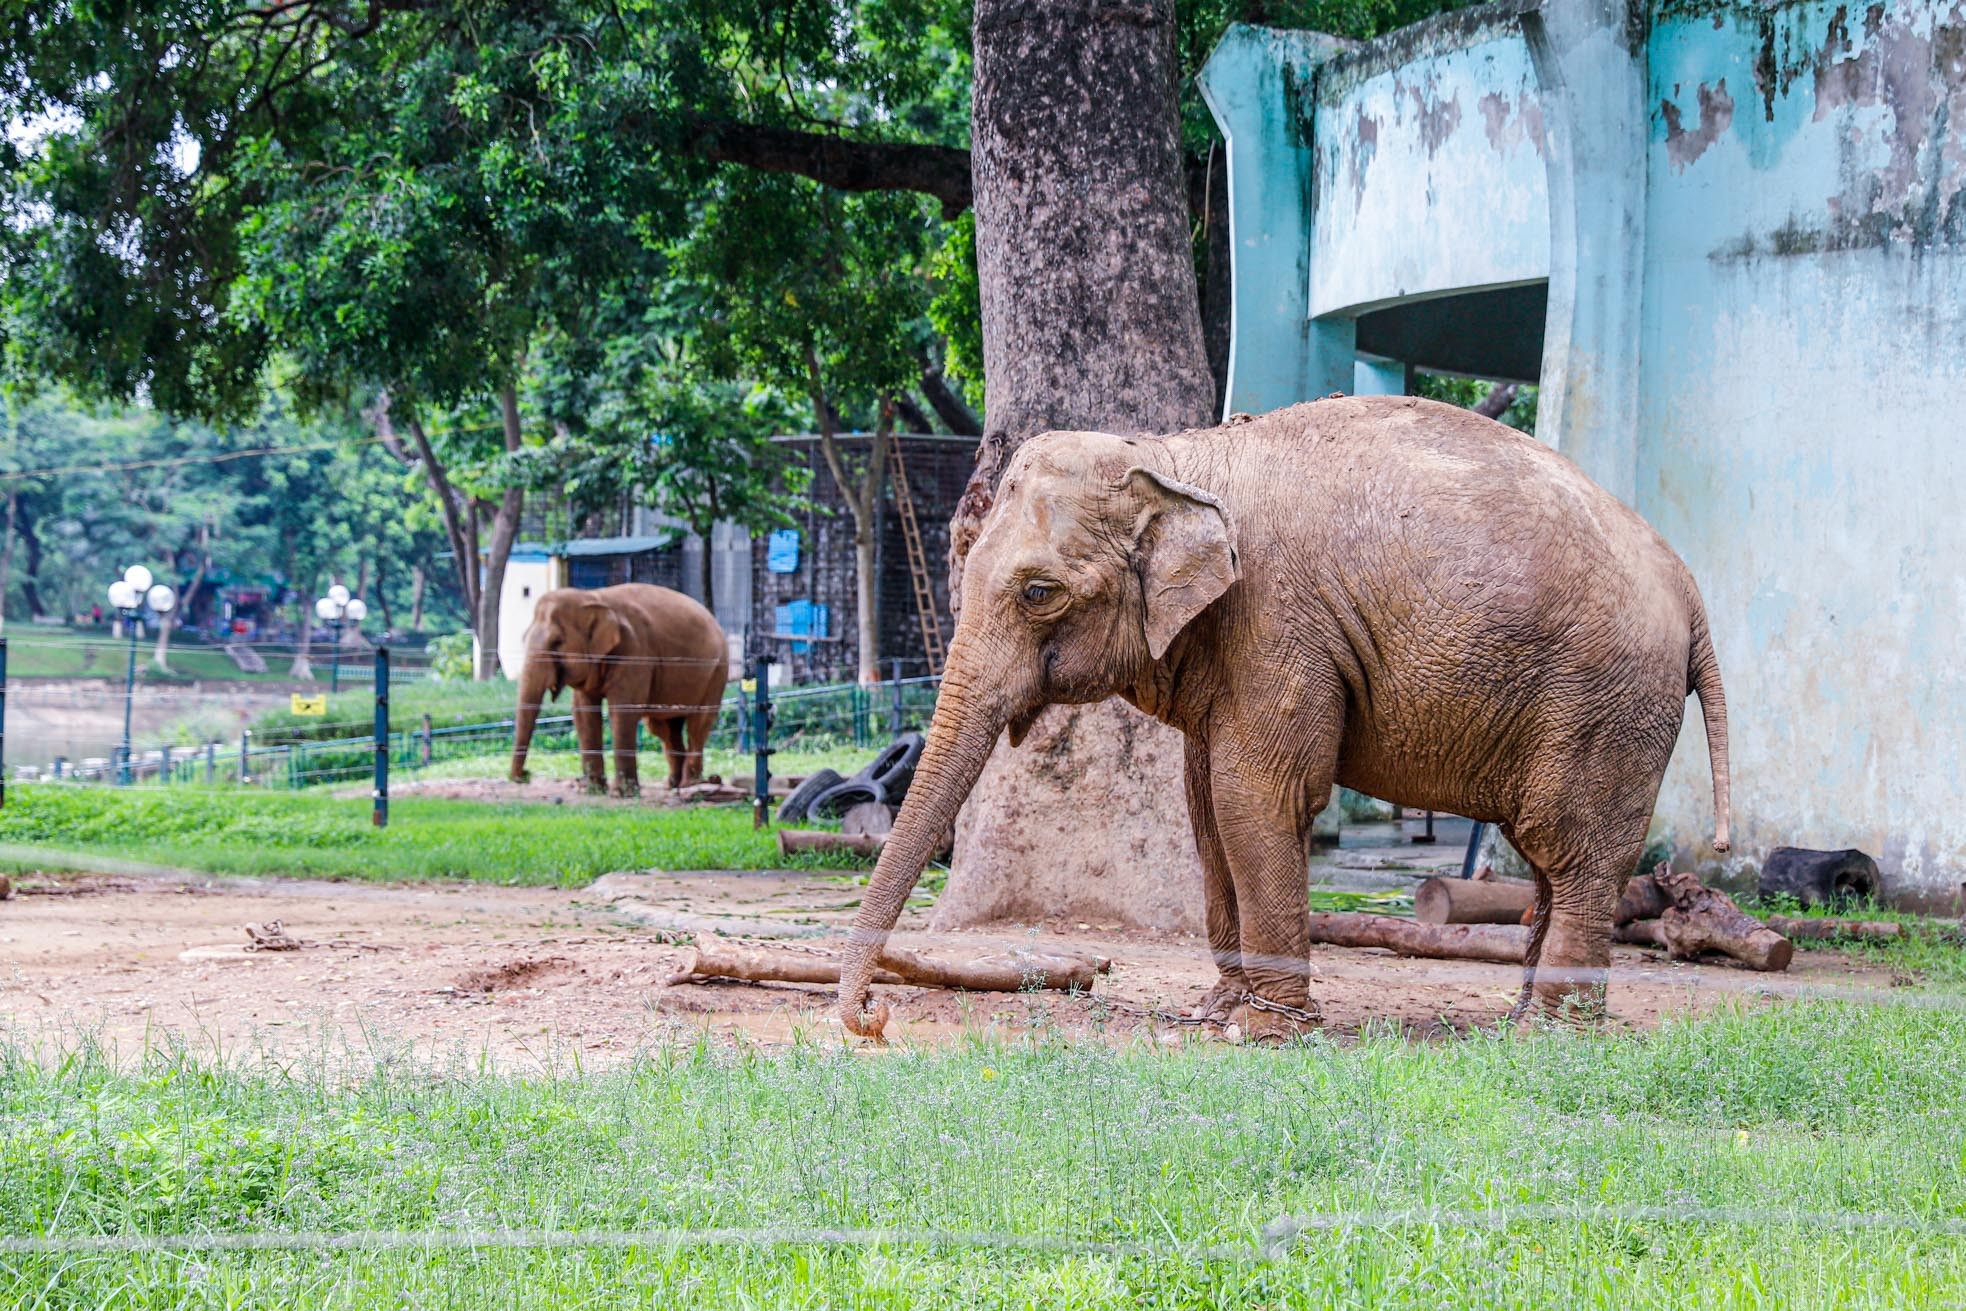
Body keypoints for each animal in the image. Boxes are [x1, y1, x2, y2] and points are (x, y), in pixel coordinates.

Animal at [507, 585, 731, 794]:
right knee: (663, 728)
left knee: (698, 724)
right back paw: (672, 785)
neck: (592, 597)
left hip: (718, 671)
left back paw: (689, 785)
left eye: (557, 642)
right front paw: (593, 790)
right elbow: (584, 713)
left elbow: (622, 711)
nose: (525, 775)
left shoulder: (634, 651)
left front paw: (622, 794)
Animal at [837, 395, 1730, 1037]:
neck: (1174, 456)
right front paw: (1216, 1012)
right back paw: (1520, 1019)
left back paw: (1550, 1032)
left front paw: (1268, 1030)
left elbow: (1253, 795)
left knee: (1575, 851)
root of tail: (1689, 589)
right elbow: (1204, 808)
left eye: (1037, 591)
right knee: (1548, 857)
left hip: (1606, 703)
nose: (871, 1018)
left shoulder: (1276, 622)